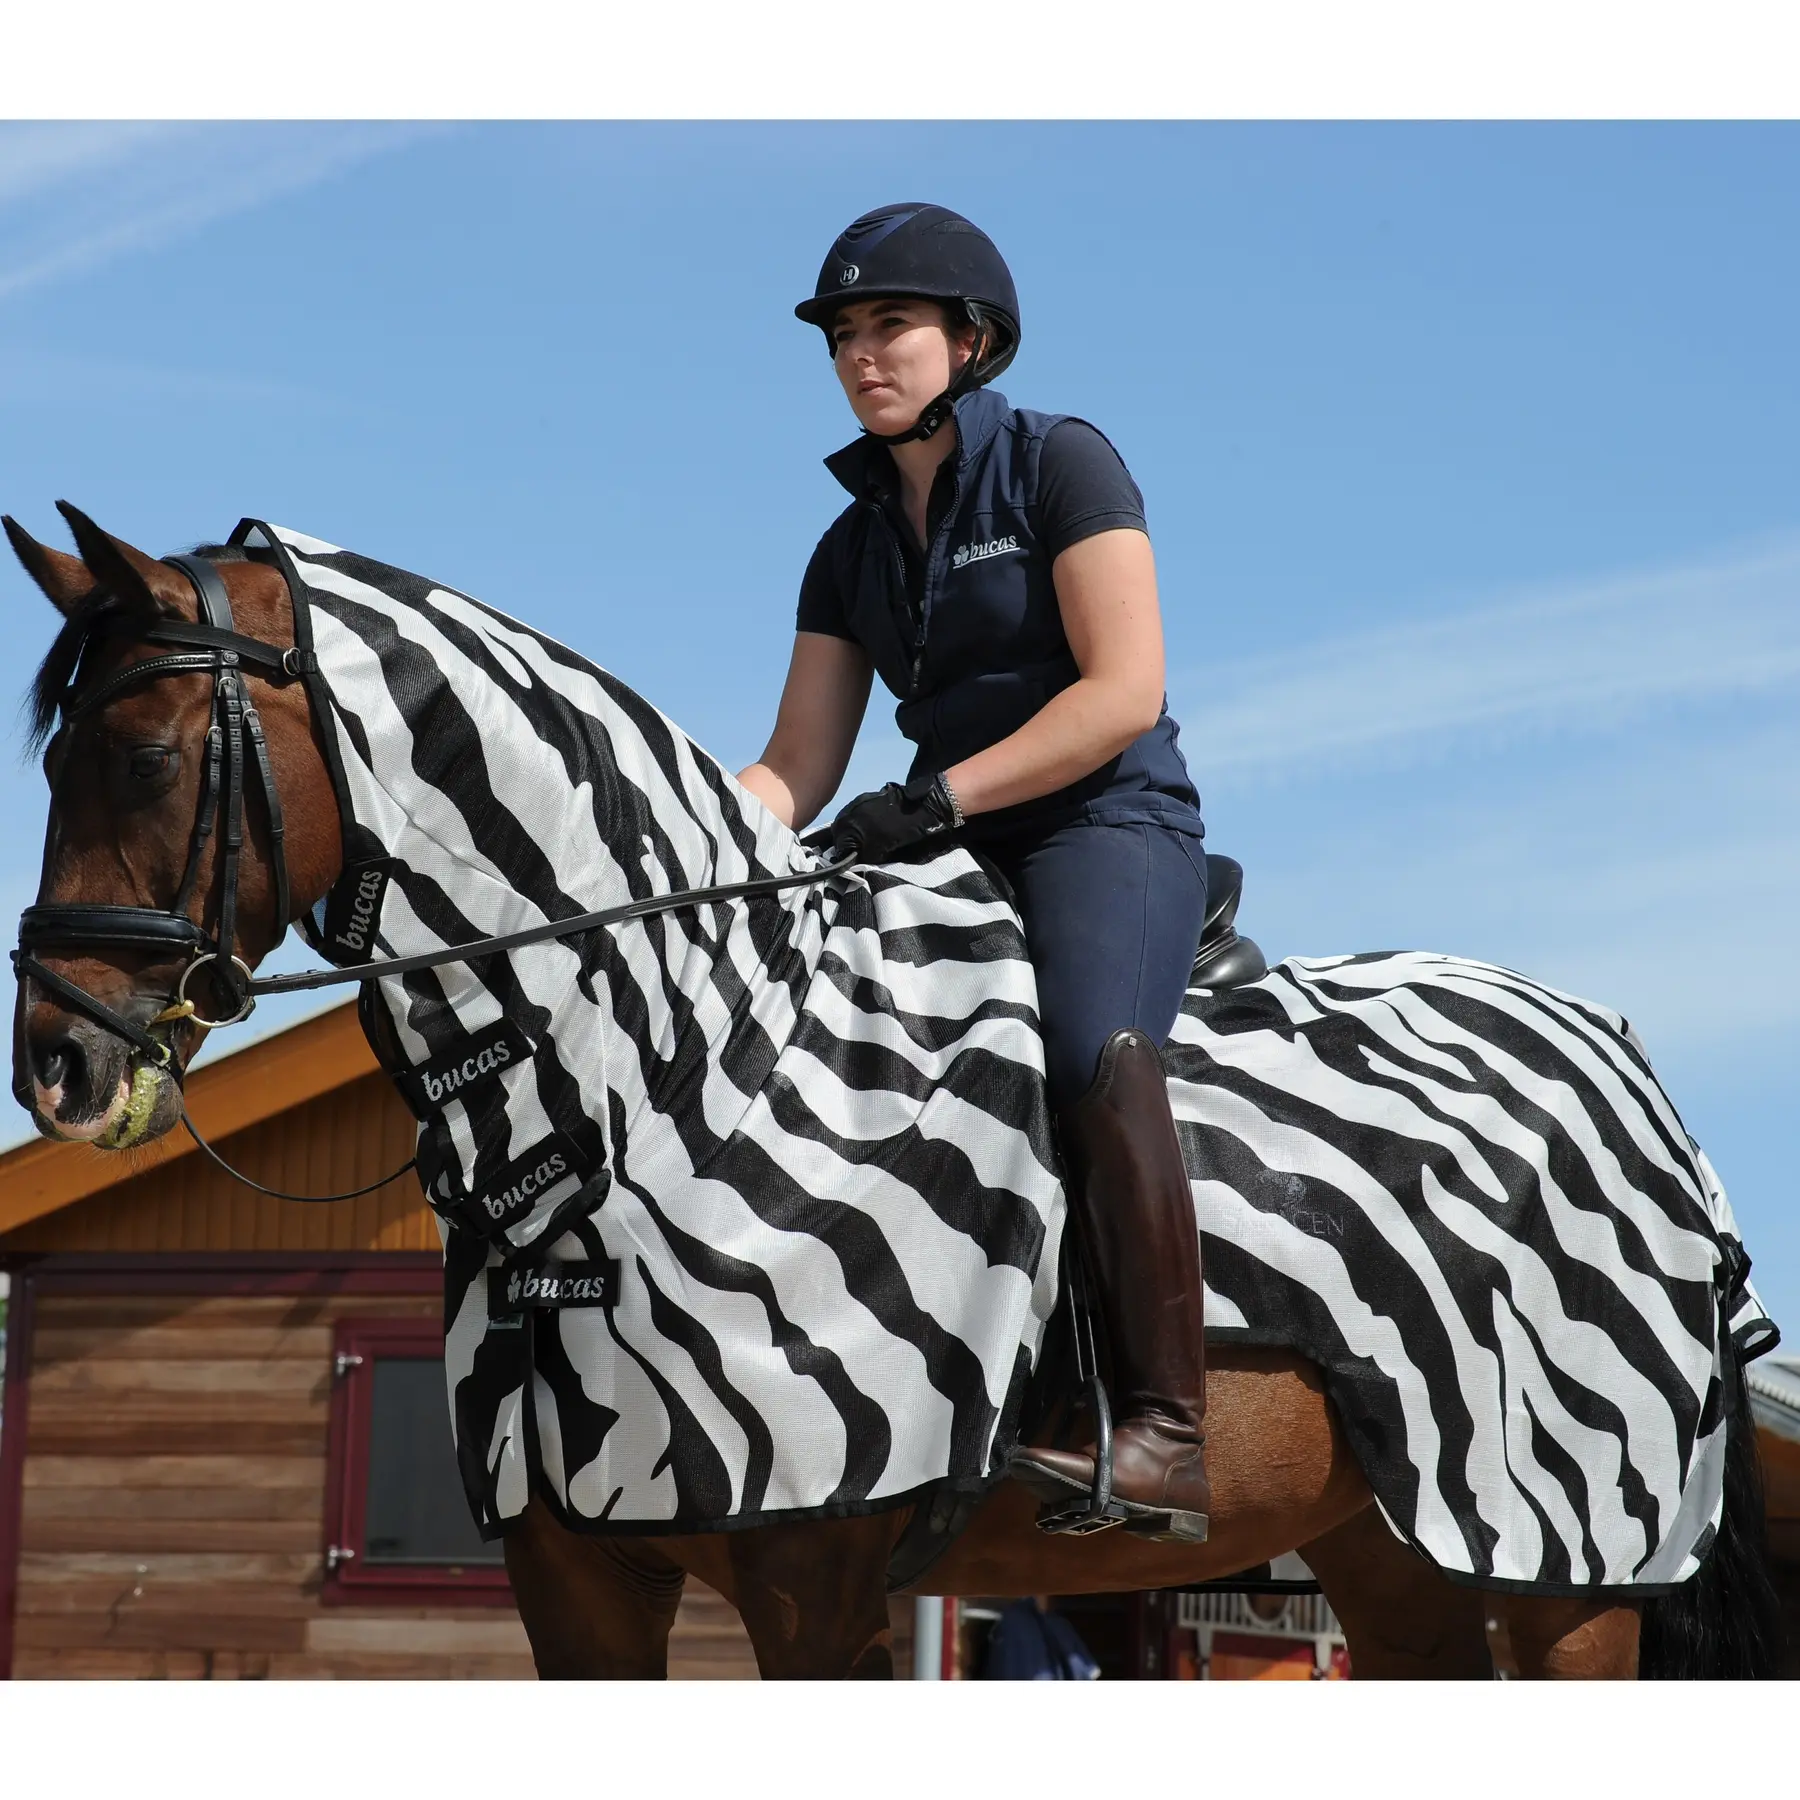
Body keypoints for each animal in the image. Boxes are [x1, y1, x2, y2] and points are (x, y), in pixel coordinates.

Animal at [6, 504, 1784, 1680]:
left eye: (147, 756)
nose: (60, 1062)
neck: (661, 1100)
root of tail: (1629, 1065)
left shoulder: (822, 1581)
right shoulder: (579, 1583)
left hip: (1571, 1577)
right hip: (1397, 1559)